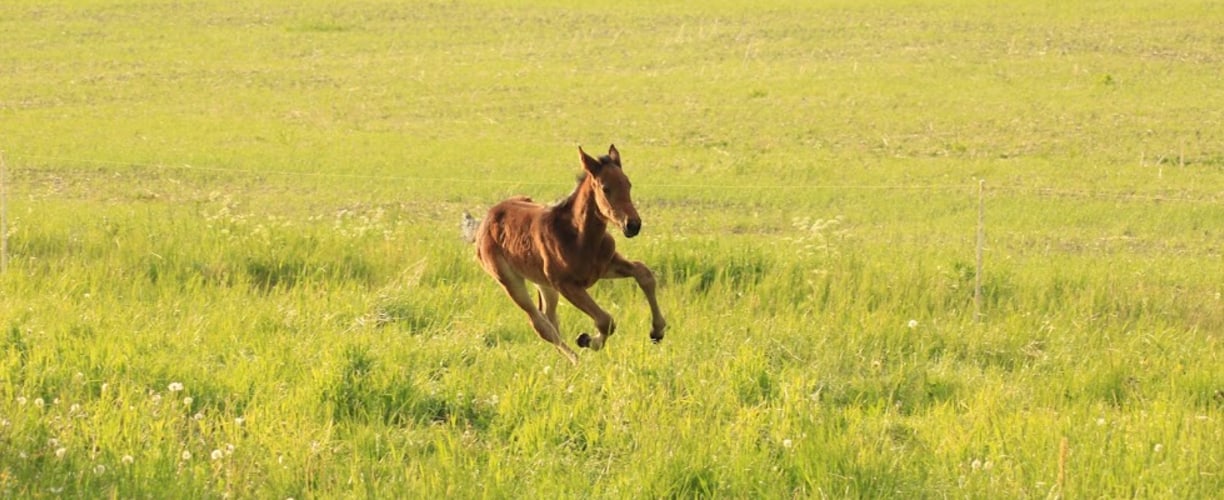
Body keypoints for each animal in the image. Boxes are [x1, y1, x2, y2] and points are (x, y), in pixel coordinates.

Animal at [460, 143, 670, 362]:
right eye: (605, 188)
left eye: (628, 184)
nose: (633, 225)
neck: (579, 236)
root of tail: (485, 220)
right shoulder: (566, 284)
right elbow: (605, 320)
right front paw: (587, 340)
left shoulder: (605, 266)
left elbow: (643, 273)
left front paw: (657, 331)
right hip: (510, 280)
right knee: (540, 324)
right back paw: (576, 360)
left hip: (543, 282)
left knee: (549, 317)